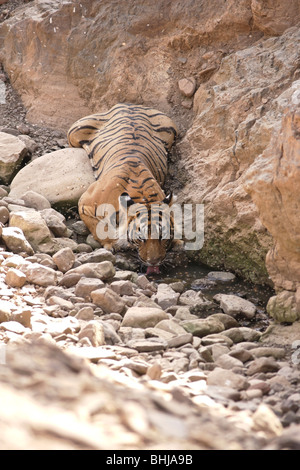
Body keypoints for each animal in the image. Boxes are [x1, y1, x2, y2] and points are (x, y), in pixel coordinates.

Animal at [67, 102, 180, 272]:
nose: (154, 262)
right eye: (141, 238)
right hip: (75, 131)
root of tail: (130, 104)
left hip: (172, 130)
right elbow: (100, 227)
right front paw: (113, 244)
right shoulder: (84, 204)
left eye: (162, 236)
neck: (143, 196)